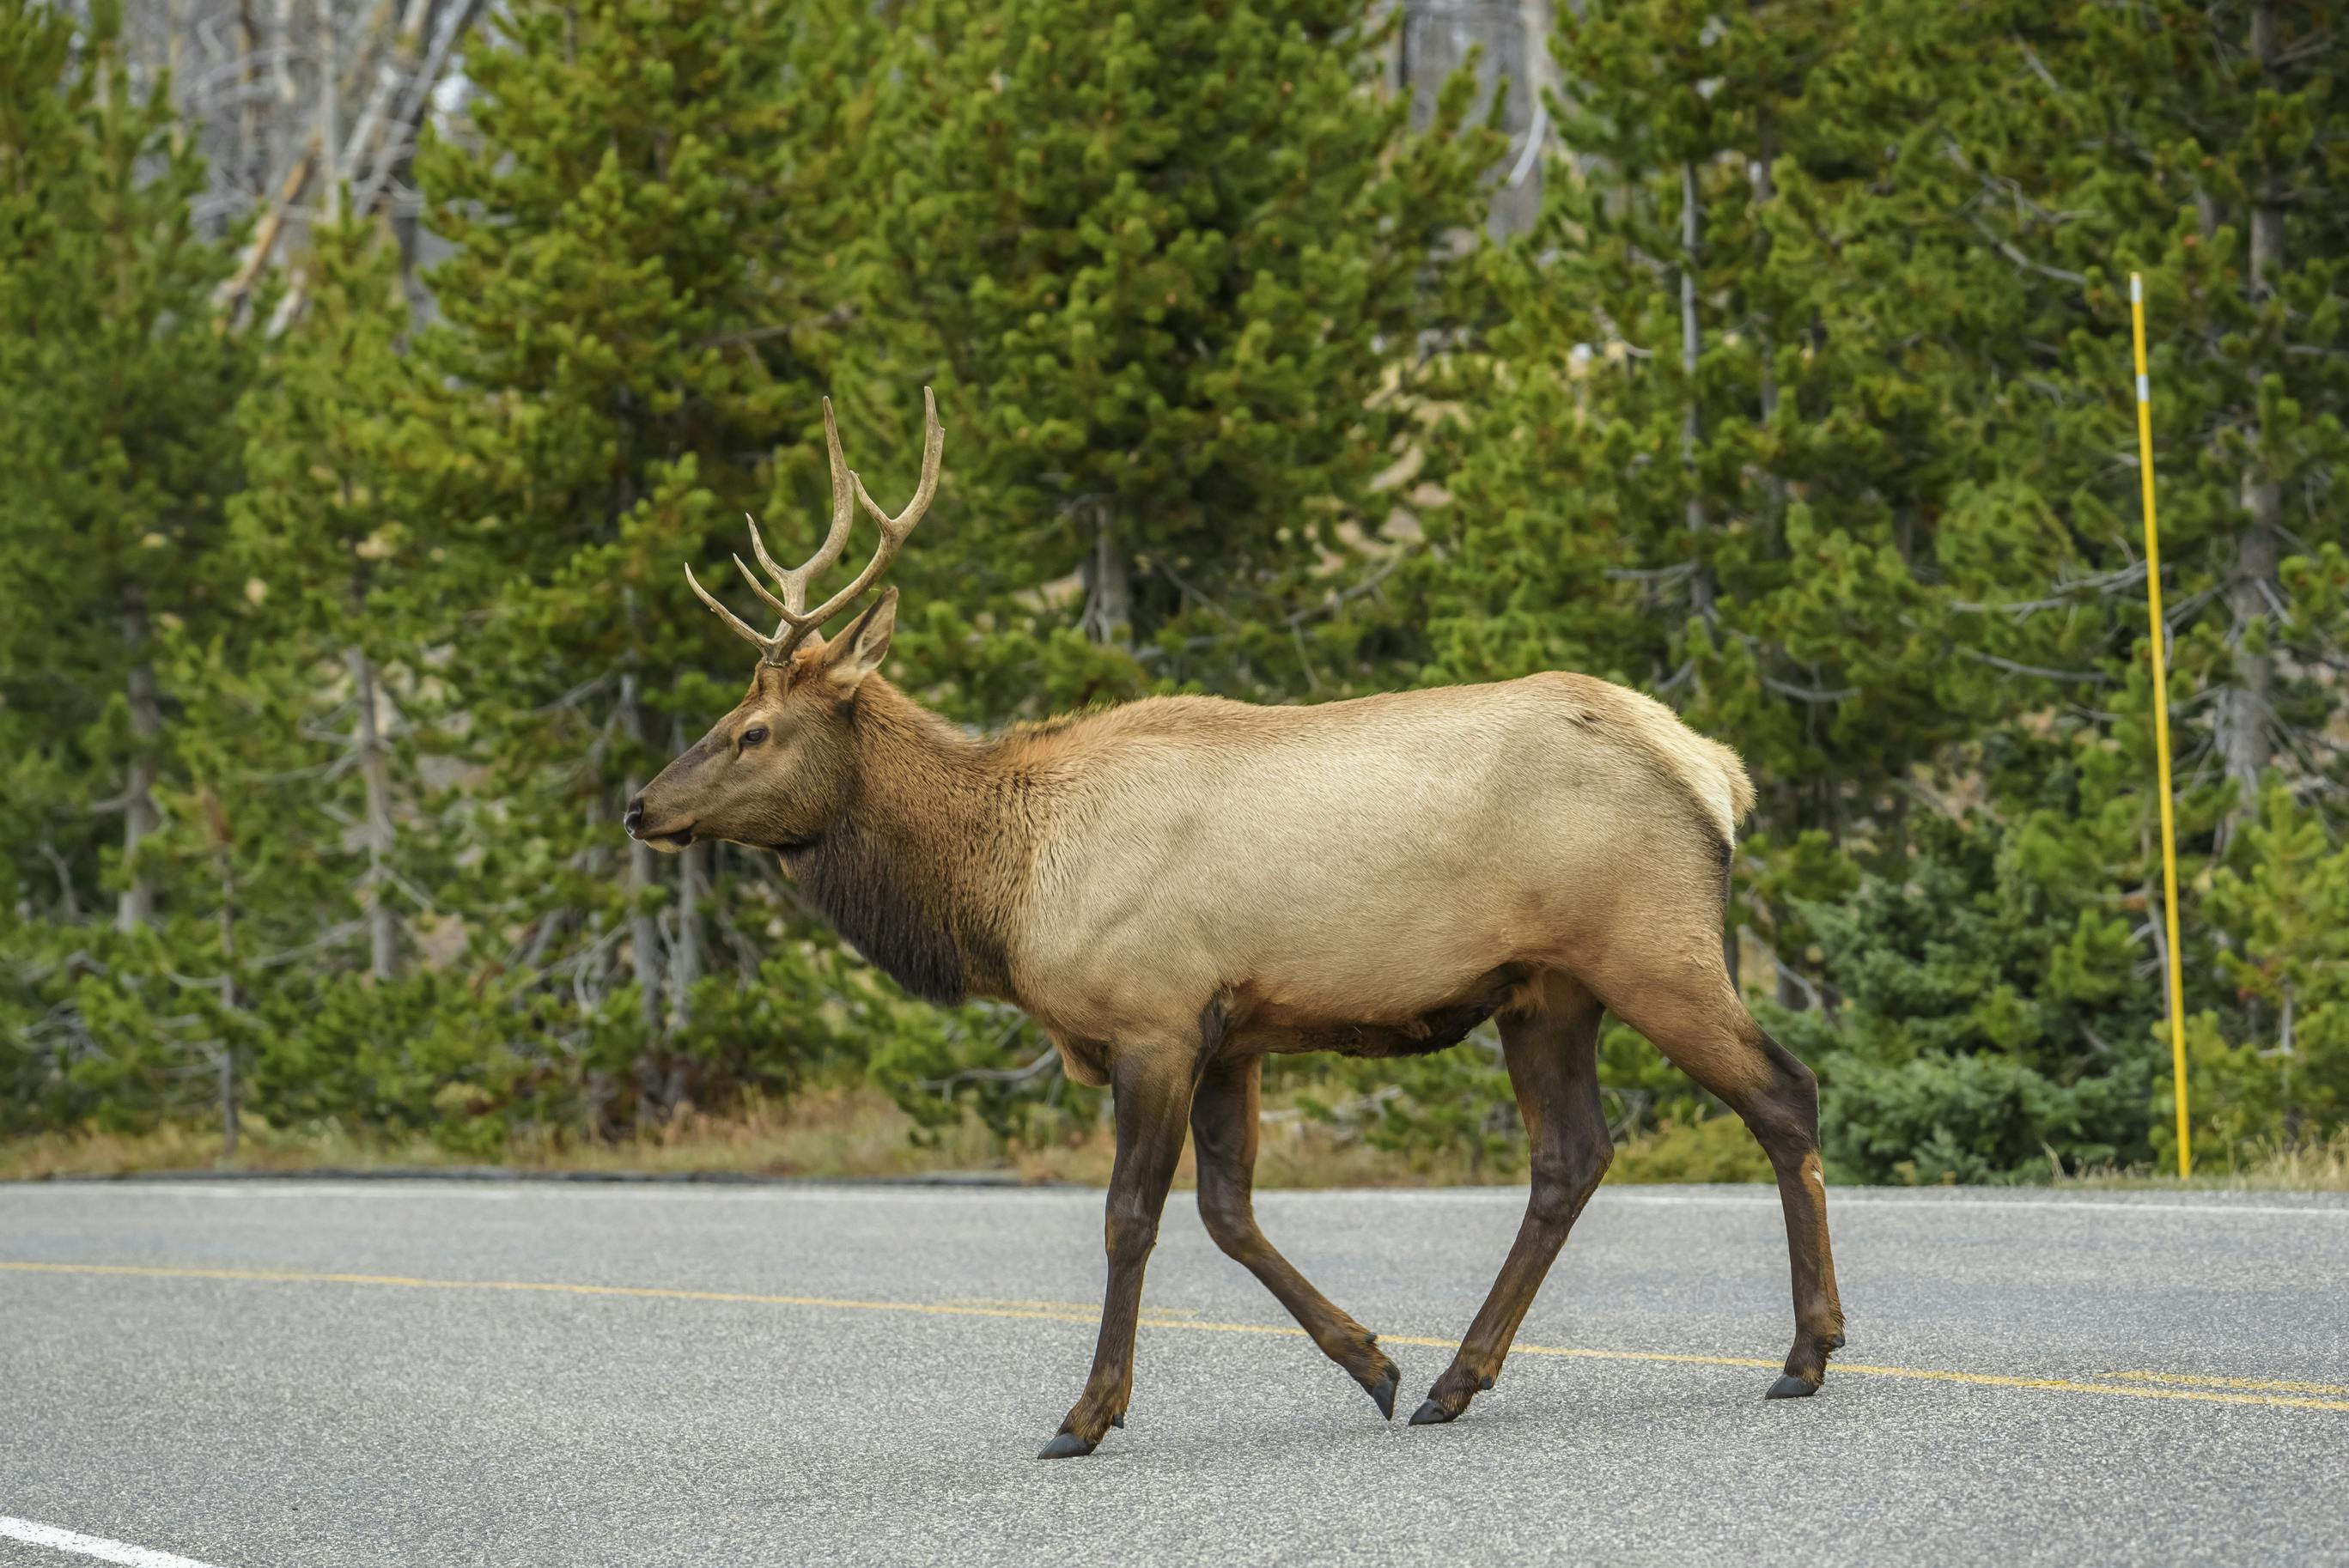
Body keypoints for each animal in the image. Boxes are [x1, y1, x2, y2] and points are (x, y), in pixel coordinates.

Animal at [626, 390, 1845, 1459]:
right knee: (1570, 1155)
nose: (641, 804)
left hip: (1650, 947)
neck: (1003, 890)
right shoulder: (1233, 1034)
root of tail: (1715, 770)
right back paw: (1456, 1377)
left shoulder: (1155, 1020)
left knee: (1782, 1091)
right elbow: (1227, 1211)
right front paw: (1373, 1362)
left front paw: (1086, 1414)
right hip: (1546, 990)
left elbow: (1130, 1217)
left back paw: (1806, 1350)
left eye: (751, 729)